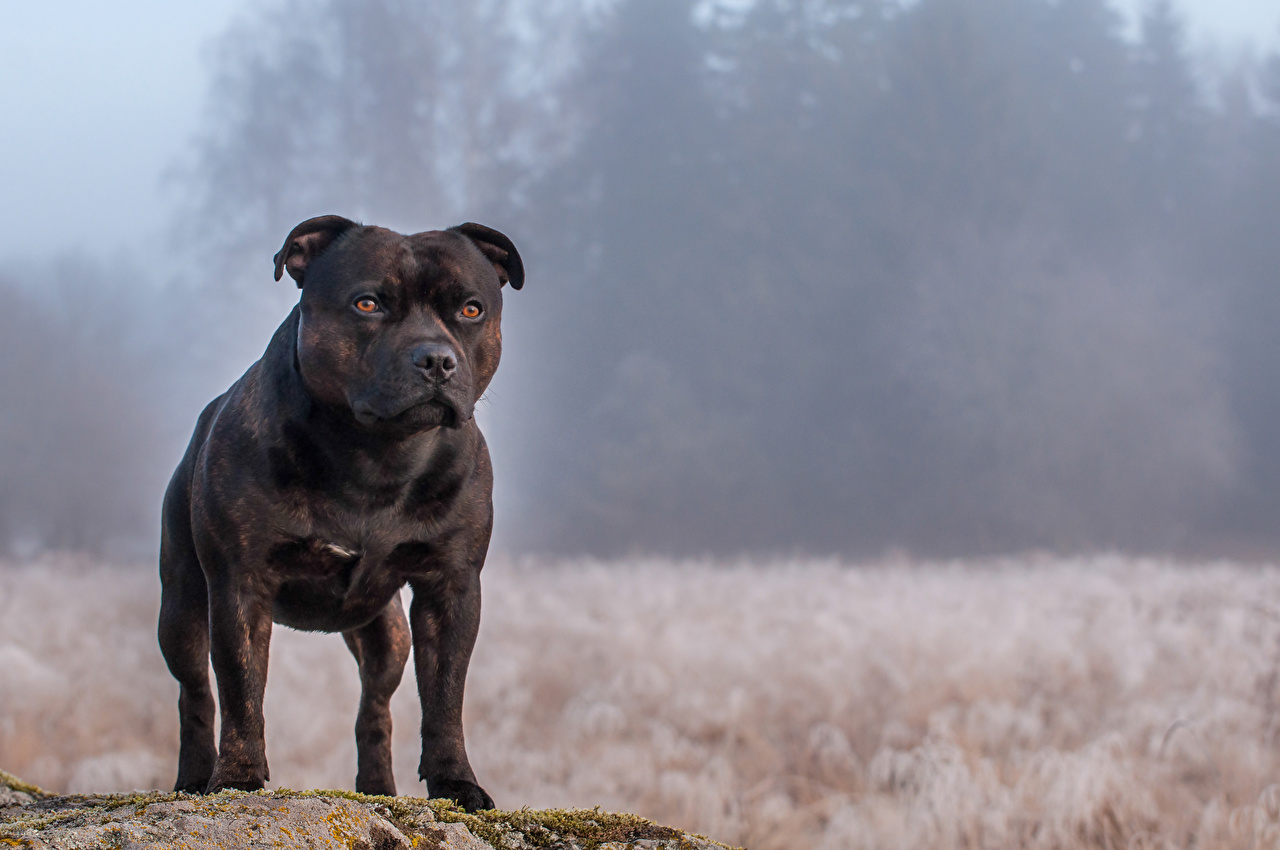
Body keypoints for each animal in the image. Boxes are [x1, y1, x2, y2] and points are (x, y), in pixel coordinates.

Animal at [157, 213, 522, 809]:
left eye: (471, 310)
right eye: (367, 303)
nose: (436, 359)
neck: (376, 455)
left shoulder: (451, 589)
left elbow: (446, 698)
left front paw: (456, 783)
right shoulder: (239, 586)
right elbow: (240, 691)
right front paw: (237, 778)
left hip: (387, 636)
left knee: (374, 709)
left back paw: (378, 789)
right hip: (182, 609)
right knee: (196, 692)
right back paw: (193, 778)